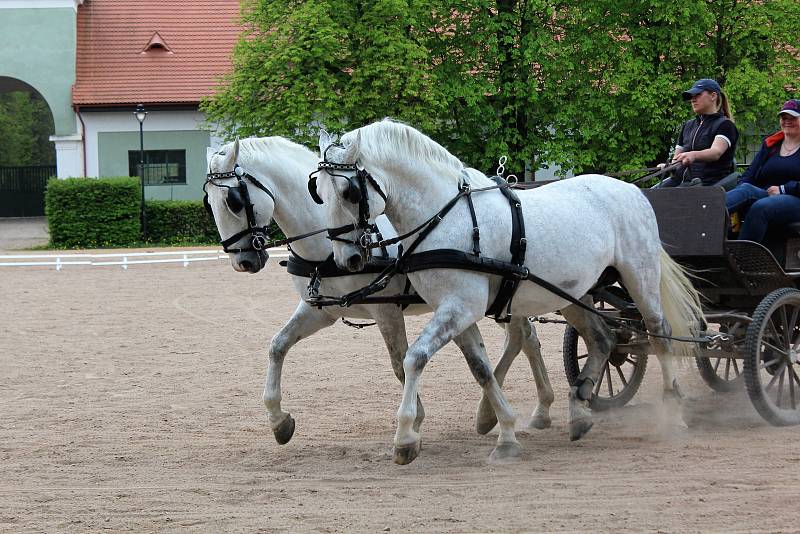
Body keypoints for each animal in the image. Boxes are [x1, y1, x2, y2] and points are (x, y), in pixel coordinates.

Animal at [206, 136, 552, 450]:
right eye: (208, 202)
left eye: (233, 200)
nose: (242, 261)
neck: (327, 248)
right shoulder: (319, 310)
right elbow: (277, 346)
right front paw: (279, 420)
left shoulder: (386, 311)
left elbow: (399, 364)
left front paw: (414, 422)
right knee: (526, 337)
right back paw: (528, 410)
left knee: (521, 337)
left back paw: (505, 412)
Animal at [316, 120, 704, 464]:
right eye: (318, 193)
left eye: (349, 192)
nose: (347, 259)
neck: (447, 218)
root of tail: (630, 190)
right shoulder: (454, 310)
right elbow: (481, 369)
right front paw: (503, 432)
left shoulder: (460, 307)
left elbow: (415, 358)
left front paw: (406, 438)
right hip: (573, 294)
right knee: (603, 339)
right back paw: (579, 409)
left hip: (640, 275)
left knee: (659, 334)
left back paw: (674, 413)